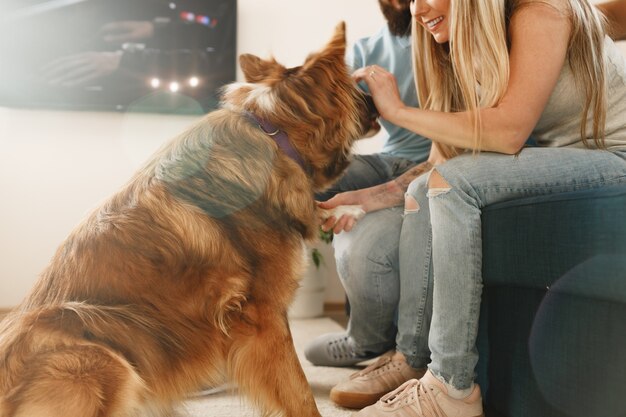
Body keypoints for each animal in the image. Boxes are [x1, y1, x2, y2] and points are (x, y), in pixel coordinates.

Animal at [0, 23, 376, 416]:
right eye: (357, 85)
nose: (377, 103)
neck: (274, 134)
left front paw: (346, 209)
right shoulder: (265, 313)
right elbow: (298, 392)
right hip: (105, 358)